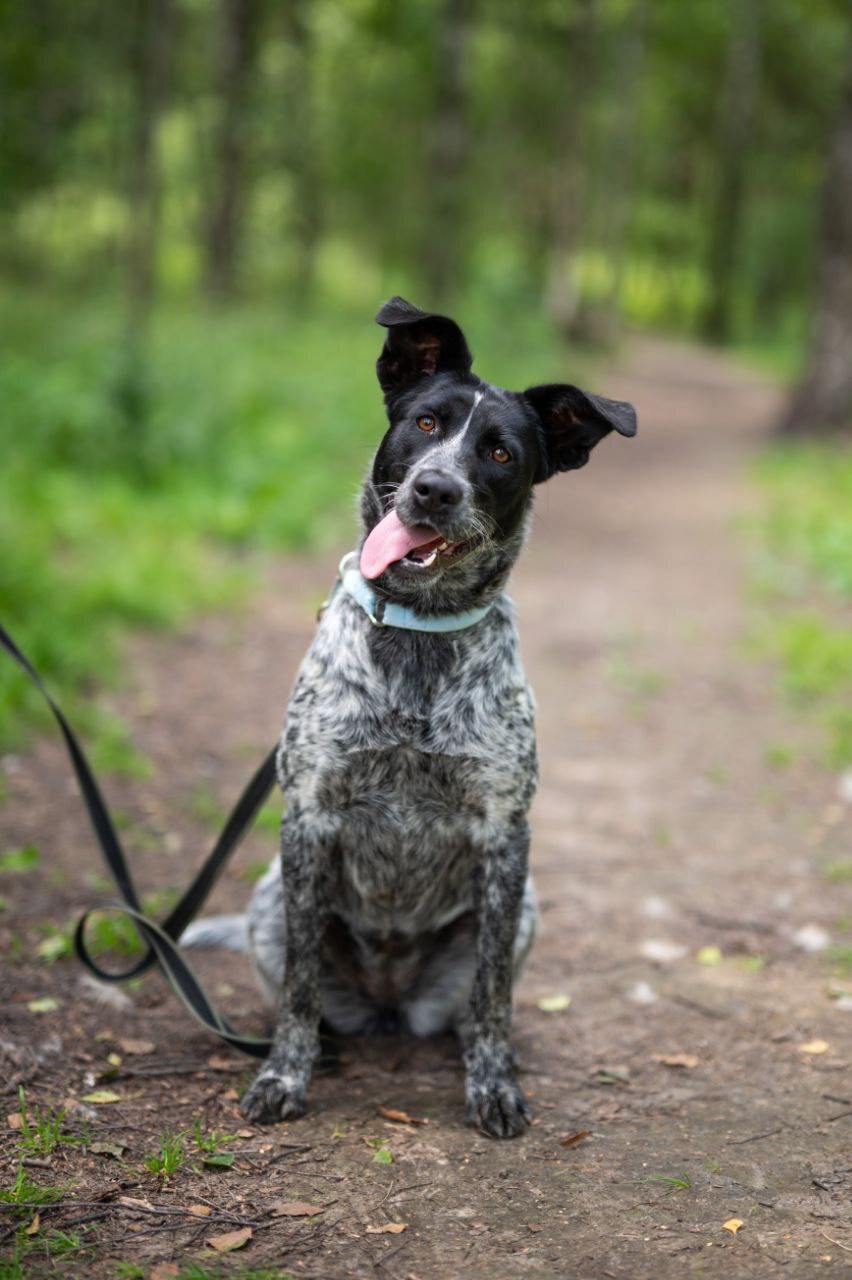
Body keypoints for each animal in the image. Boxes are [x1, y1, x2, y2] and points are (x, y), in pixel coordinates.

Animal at [182, 299, 634, 1141]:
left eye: (499, 452)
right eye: (426, 422)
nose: (432, 490)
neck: (417, 638)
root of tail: (389, 1008)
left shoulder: (504, 834)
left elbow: (493, 994)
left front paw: (493, 1086)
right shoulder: (310, 818)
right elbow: (298, 988)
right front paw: (283, 1076)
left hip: (523, 908)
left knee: (474, 1004)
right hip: (267, 902)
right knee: (306, 994)